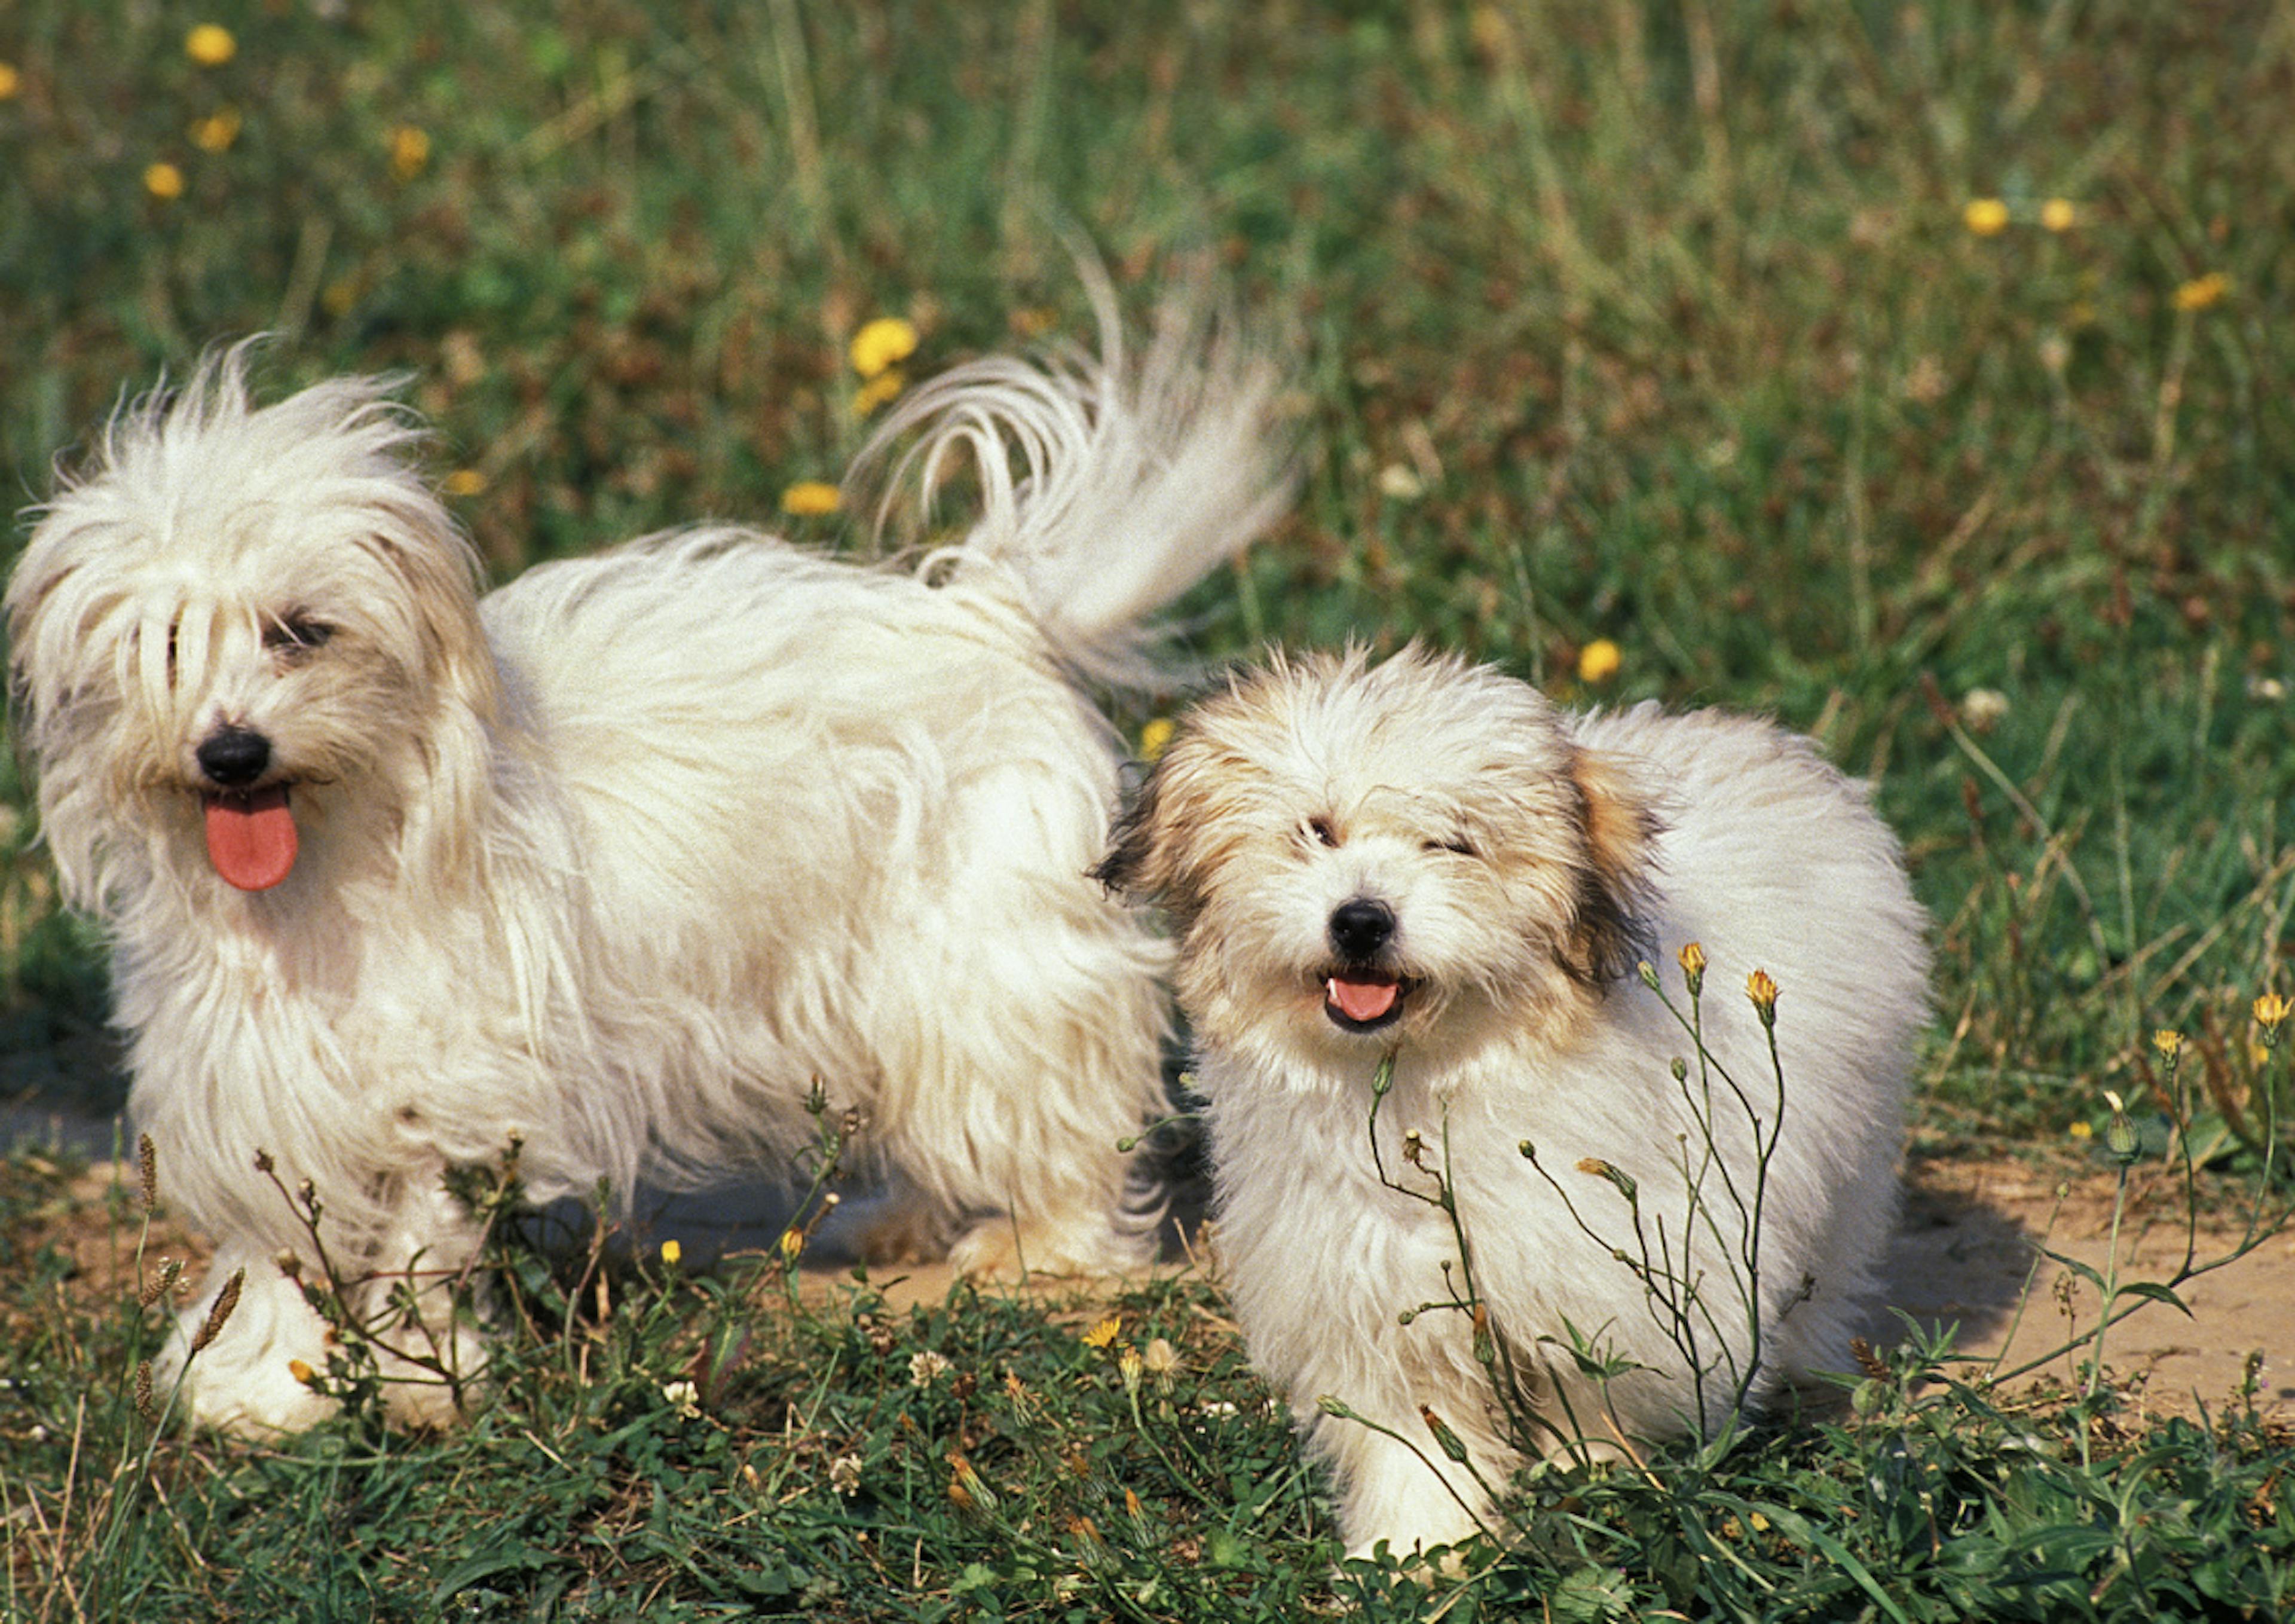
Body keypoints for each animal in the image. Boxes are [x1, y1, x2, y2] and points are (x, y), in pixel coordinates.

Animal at [4, 291, 1294, 1431]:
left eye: (300, 630)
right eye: (163, 644)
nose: (231, 752)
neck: (327, 864)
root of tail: (983, 611)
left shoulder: (453, 1092)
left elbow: (418, 1246)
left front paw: (420, 1380)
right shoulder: (259, 1086)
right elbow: (272, 1252)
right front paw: (260, 1385)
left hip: (983, 966)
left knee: (1056, 1119)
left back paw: (1040, 1246)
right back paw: (903, 1221)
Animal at [1101, 647, 1927, 1559]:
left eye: (1453, 843)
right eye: (1317, 830)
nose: (1361, 921)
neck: (1425, 1081)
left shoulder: (1611, 1289)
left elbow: (1598, 1405)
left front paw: (1593, 1494)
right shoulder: (1371, 1293)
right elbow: (1417, 1445)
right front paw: (1414, 1551)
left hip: (1846, 1151)